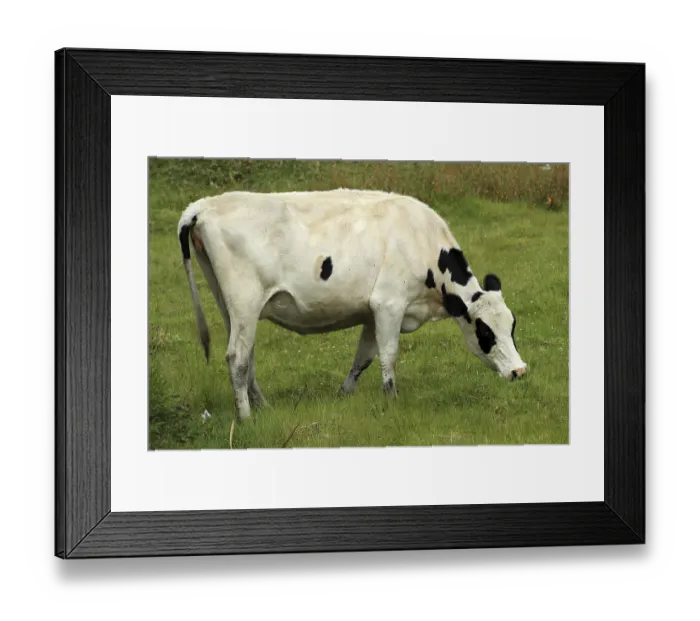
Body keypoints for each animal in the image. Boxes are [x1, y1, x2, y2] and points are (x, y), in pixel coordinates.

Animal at [177, 189, 527, 422]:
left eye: (512, 326)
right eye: (485, 332)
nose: (519, 371)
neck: (420, 239)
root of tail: (205, 204)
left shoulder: (373, 312)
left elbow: (364, 358)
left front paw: (345, 394)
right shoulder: (389, 303)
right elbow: (389, 356)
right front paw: (391, 401)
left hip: (230, 306)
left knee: (246, 355)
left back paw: (262, 405)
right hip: (246, 301)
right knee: (237, 358)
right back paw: (246, 417)